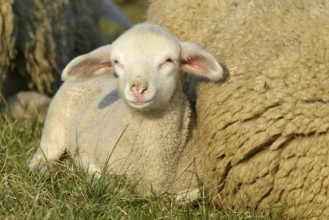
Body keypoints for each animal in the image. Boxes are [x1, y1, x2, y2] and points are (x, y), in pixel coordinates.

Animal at [28, 23, 223, 199]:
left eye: (169, 60)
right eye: (117, 62)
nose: (138, 88)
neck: (155, 168)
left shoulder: (197, 183)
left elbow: (187, 196)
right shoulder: (94, 165)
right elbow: (114, 187)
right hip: (53, 131)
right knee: (35, 161)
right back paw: (46, 170)